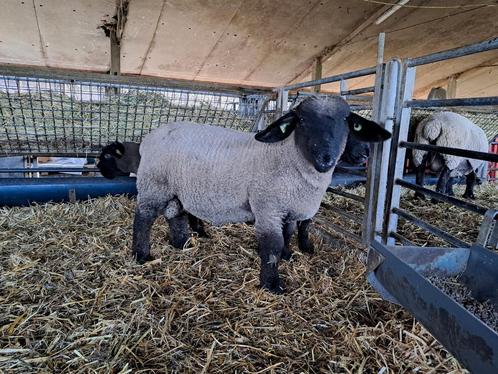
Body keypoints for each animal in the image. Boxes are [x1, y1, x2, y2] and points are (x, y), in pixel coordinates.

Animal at [134, 95, 392, 294]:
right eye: (302, 121)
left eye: (348, 122)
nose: (325, 158)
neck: (289, 158)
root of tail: (149, 137)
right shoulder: (268, 208)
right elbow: (272, 245)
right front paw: (272, 284)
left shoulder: (289, 208)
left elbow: (289, 233)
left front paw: (288, 256)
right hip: (153, 184)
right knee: (143, 218)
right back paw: (141, 255)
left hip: (174, 188)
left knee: (174, 214)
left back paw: (182, 244)